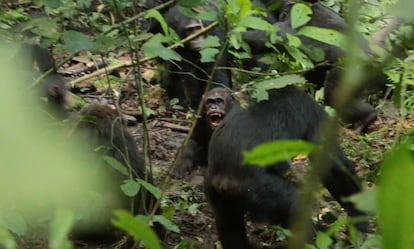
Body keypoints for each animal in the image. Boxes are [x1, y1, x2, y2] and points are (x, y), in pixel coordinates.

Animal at [205, 85, 368, 249]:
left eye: (218, 101)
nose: (213, 106)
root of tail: (223, 181)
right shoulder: (312, 111)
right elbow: (333, 165)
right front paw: (361, 220)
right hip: (261, 188)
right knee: (296, 208)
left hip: (217, 194)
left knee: (227, 222)